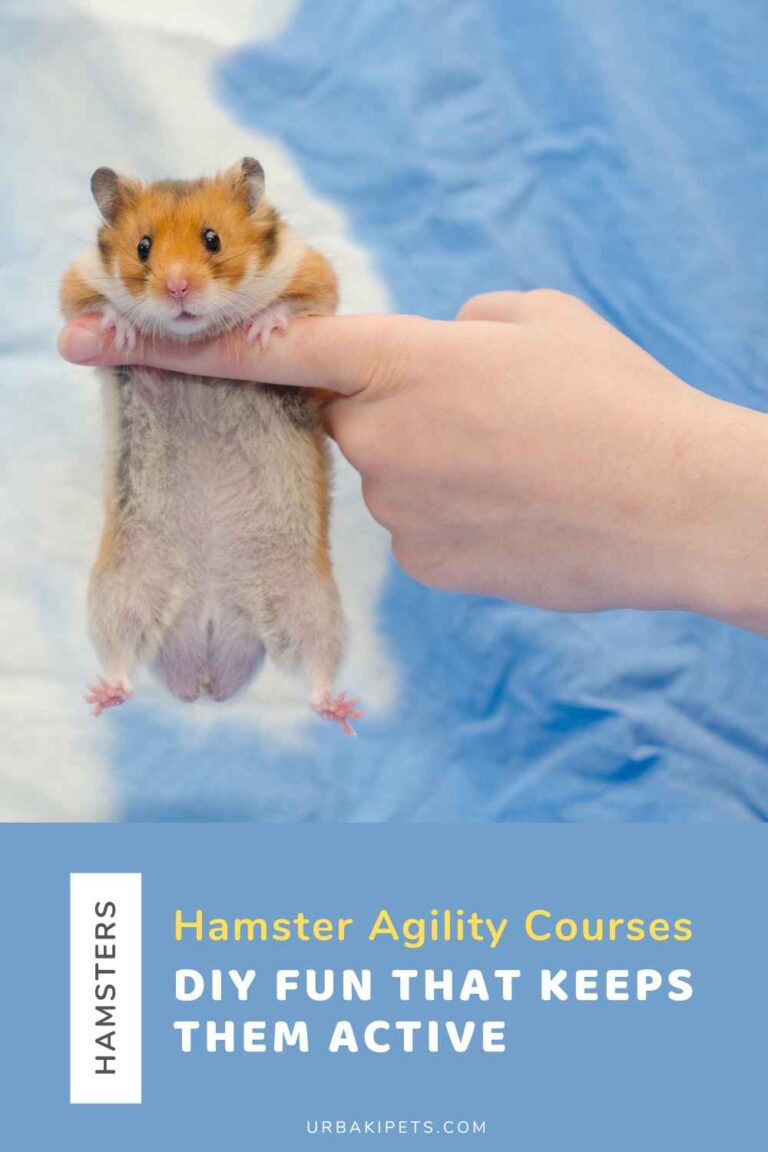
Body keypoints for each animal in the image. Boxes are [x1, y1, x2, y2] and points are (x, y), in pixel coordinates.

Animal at [60, 158, 361, 734]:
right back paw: (104, 696)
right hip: (119, 590)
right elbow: (92, 306)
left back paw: (341, 709)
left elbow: (300, 302)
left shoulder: (311, 272)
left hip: (311, 604)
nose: (177, 288)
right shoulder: (76, 282)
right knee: (121, 656)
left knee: (316, 667)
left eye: (212, 238)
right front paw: (122, 328)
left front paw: (262, 329)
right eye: (143, 247)